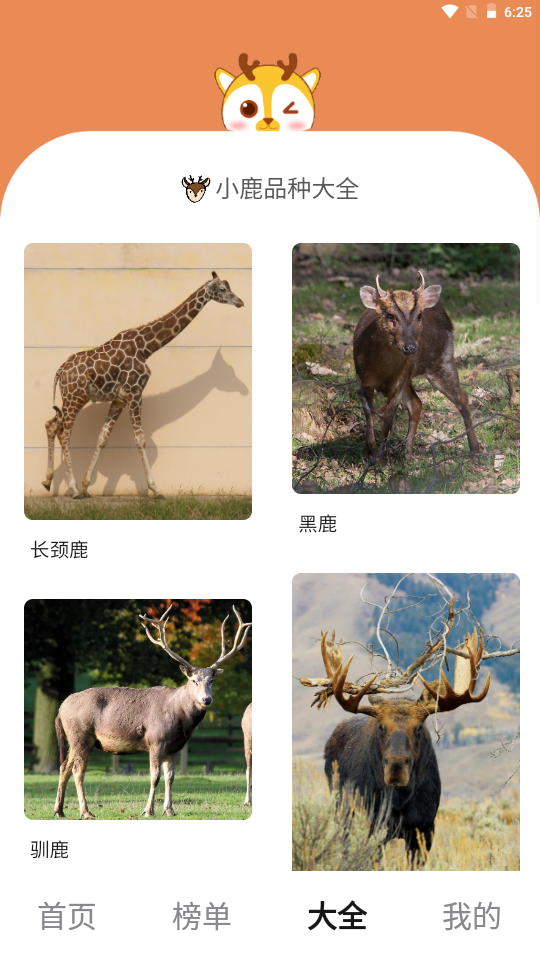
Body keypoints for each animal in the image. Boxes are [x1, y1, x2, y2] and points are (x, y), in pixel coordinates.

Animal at [53, 605, 252, 819]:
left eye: (211, 680)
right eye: (193, 680)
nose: (206, 700)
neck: (181, 721)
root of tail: (61, 708)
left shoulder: (174, 747)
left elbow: (170, 777)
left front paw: (169, 810)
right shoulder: (156, 740)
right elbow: (155, 776)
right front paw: (148, 810)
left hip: (74, 740)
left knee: (64, 767)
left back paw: (59, 810)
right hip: (81, 735)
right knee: (77, 770)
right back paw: (86, 811)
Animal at [353, 272, 480, 459]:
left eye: (419, 315)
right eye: (389, 315)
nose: (410, 347)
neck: (383, 373)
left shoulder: (397, 386)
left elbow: (387, 423)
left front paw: (381, 458)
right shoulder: (362, 380)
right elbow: (369, 415)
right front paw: (370, 451)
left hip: (442, 360)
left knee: (462, 397)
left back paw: (475, 450)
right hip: (411, 374)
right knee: (417, 404)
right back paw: (407, 454)